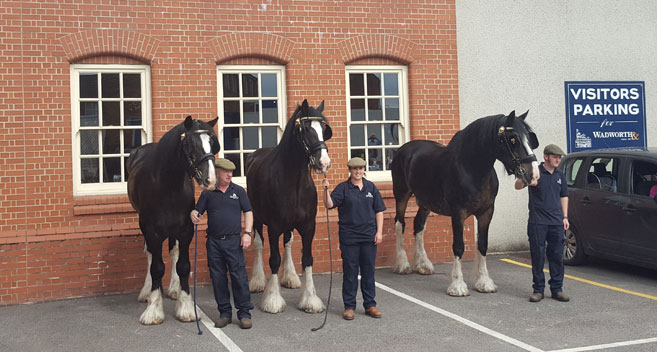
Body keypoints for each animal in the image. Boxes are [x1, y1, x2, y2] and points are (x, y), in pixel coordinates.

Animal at [127, 115, 219, 324]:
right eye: (191, 143)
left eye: (212, 143)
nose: (210, 180)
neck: (168, 186)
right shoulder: (151, 231)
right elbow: (156, 267)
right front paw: (154, 309)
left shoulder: (185, 231)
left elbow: (183, 266)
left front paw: (186, 308)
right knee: (150, 254)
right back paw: (148, 291)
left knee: (173, 250)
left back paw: (174, 288)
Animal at [245, 99, 330, 314]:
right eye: (306, 129)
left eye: (323, 129)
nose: (324, 162)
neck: (294, 182)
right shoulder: (274, 227)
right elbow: (273, 259)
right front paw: (273, 300)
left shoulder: (309, 226)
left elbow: (307, 259)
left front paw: (310, 299)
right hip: (257, 219)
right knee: (259, 245)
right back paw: (258, 281)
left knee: (288, 243)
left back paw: (290, 276)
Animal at [390, 111, 540, 296]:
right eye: (513, 139)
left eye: (530, 139)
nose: (534, 175)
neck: (471, 169)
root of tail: (403, 150)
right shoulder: (458, 213)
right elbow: (458, 246)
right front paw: (457, 285)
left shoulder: (486, 212)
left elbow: (482, 245)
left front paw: (484, 282)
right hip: (401, 194)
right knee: (400, 224)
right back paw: (403, 265)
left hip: (425, 202)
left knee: (419, 226)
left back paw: (423, 264)